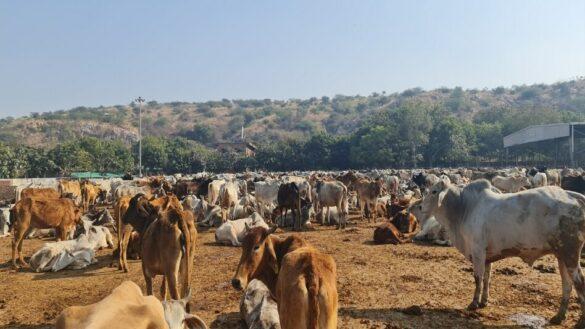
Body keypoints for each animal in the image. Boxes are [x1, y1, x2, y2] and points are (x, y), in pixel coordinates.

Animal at [418, 179, 584, 326]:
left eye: (434, 191)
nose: (419, 207)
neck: (463, 208)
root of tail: (570, 194)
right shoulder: (487, 257)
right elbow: (487, 278)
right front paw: (484, 301)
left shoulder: (478, 251)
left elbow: (478, 278)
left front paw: (474, 303)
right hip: (561, 254)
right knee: (567, 285)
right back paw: (559, 317)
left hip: (570, 253)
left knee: (579, 283)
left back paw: (579, 322)